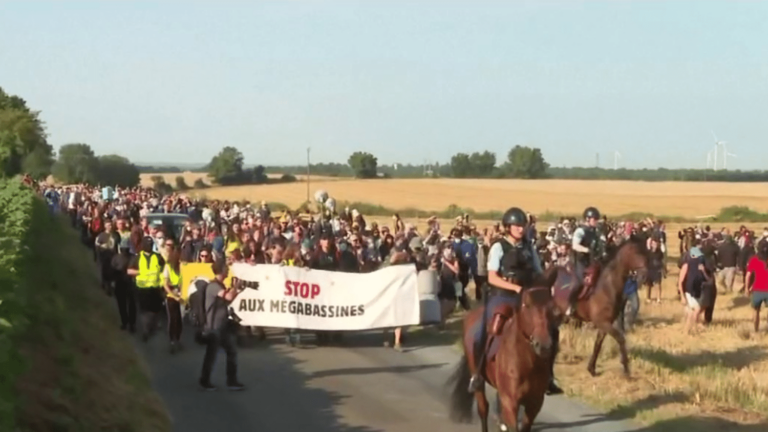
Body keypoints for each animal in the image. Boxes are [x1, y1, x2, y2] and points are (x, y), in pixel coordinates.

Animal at [444, 276, 560, 430]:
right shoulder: (510, 402)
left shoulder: (535, 403)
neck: (528, 363)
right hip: (478, 380)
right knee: (483, 408)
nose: (544, 346)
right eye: (526, 305)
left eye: (552, 307)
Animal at [552, 235, 648, 376]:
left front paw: (591, 368)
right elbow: (620, 339)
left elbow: (598, 344)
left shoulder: (604, 324)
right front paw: (626, 369)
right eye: (636, 252)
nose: (644, 274)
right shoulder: (603, 323)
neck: (607, 288)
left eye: (645, 251)